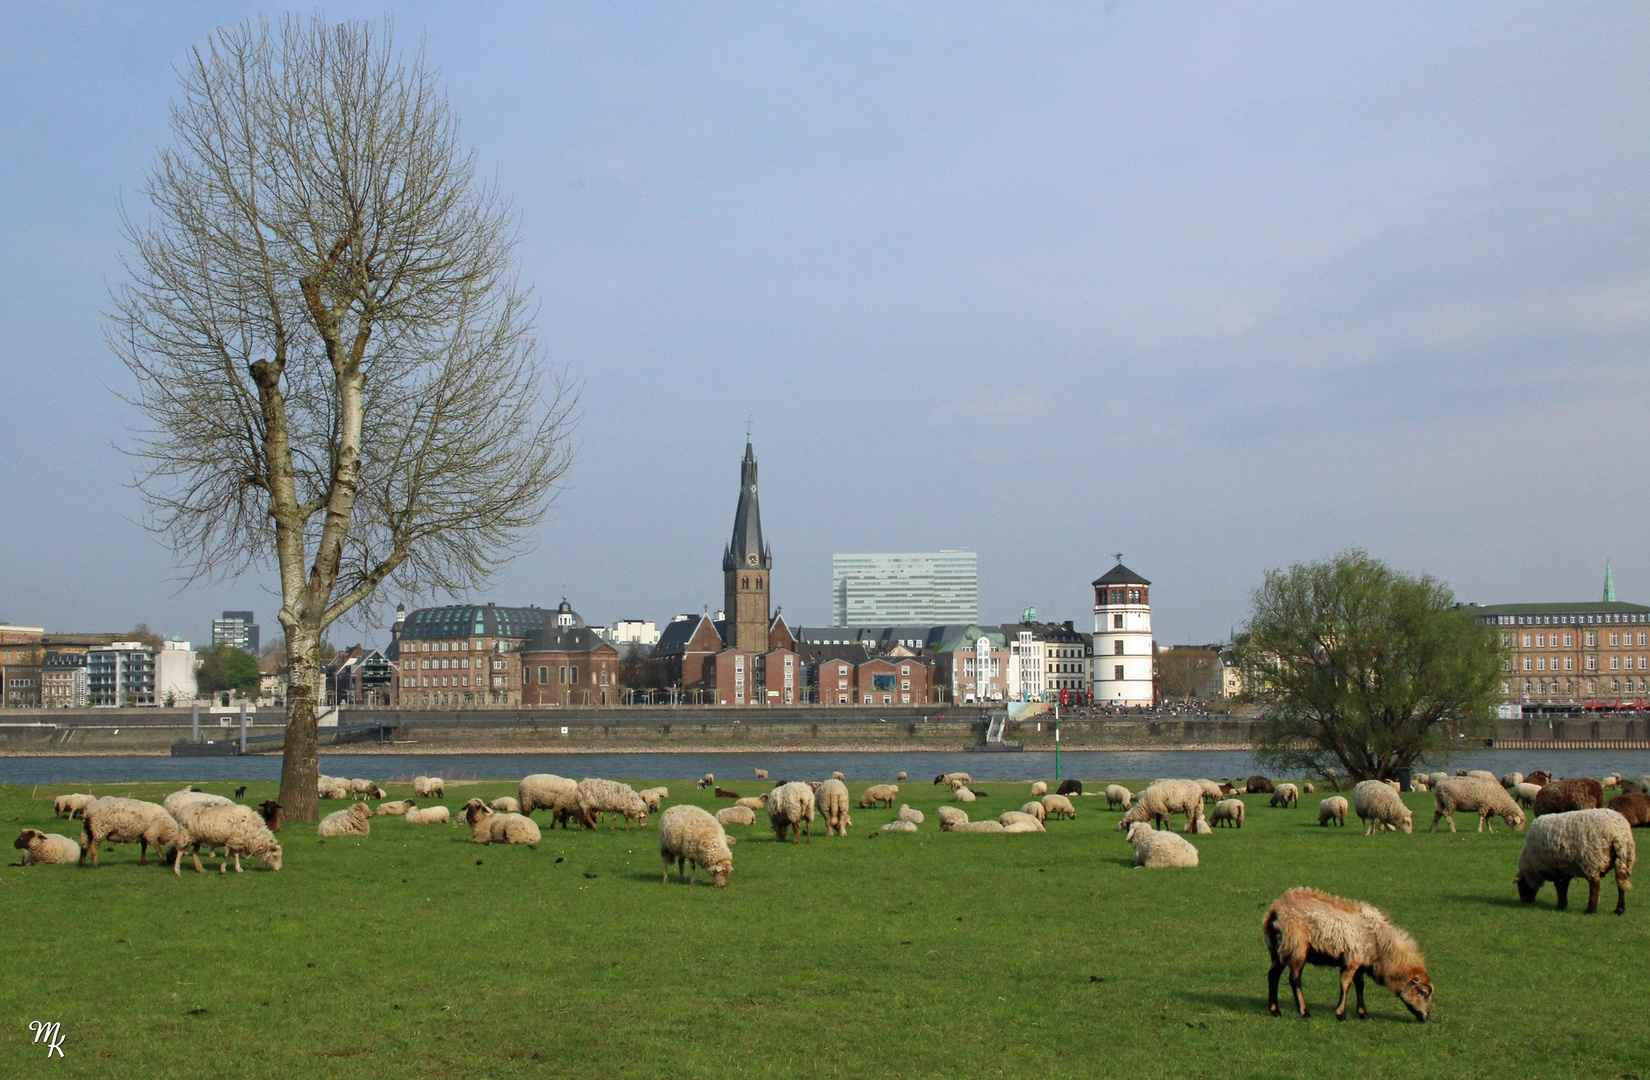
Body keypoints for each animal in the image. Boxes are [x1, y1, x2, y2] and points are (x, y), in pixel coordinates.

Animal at [1260, 890, 1432, 1022]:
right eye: (1423, 993)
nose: (1426, 1017)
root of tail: (1276, 910)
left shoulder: (1361, 963)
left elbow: (1360, 985)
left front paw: (1363, 1013)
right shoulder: (1353, 960)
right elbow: (1346, 983)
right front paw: (1340, 1014)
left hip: (1278, 949)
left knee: (1273, 975)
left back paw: (1275, 1010)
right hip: (1296, 946)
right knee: (1294, 979)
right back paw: (1304, 1012)